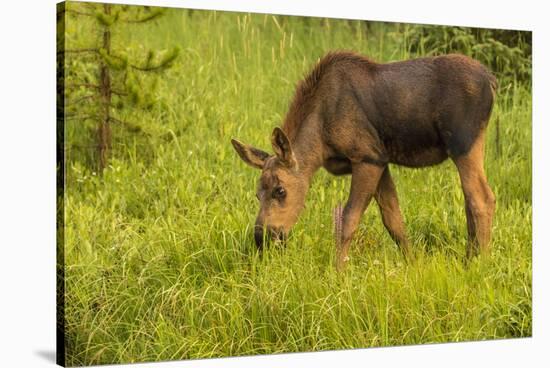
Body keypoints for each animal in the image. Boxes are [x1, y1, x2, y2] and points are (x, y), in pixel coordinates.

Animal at [231, 51, 498, 270]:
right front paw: (413, 265)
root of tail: (492, 81)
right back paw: (469, 258)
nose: (262, 238)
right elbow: (394, 220)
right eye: (257, 194)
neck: (320, 144)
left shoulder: (367, 158)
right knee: (469, 199)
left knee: (482, 198)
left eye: (280, 190)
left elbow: (348, 219)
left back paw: (480, 265)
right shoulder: (380, 161)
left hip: (463, 144)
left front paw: (338, 273)